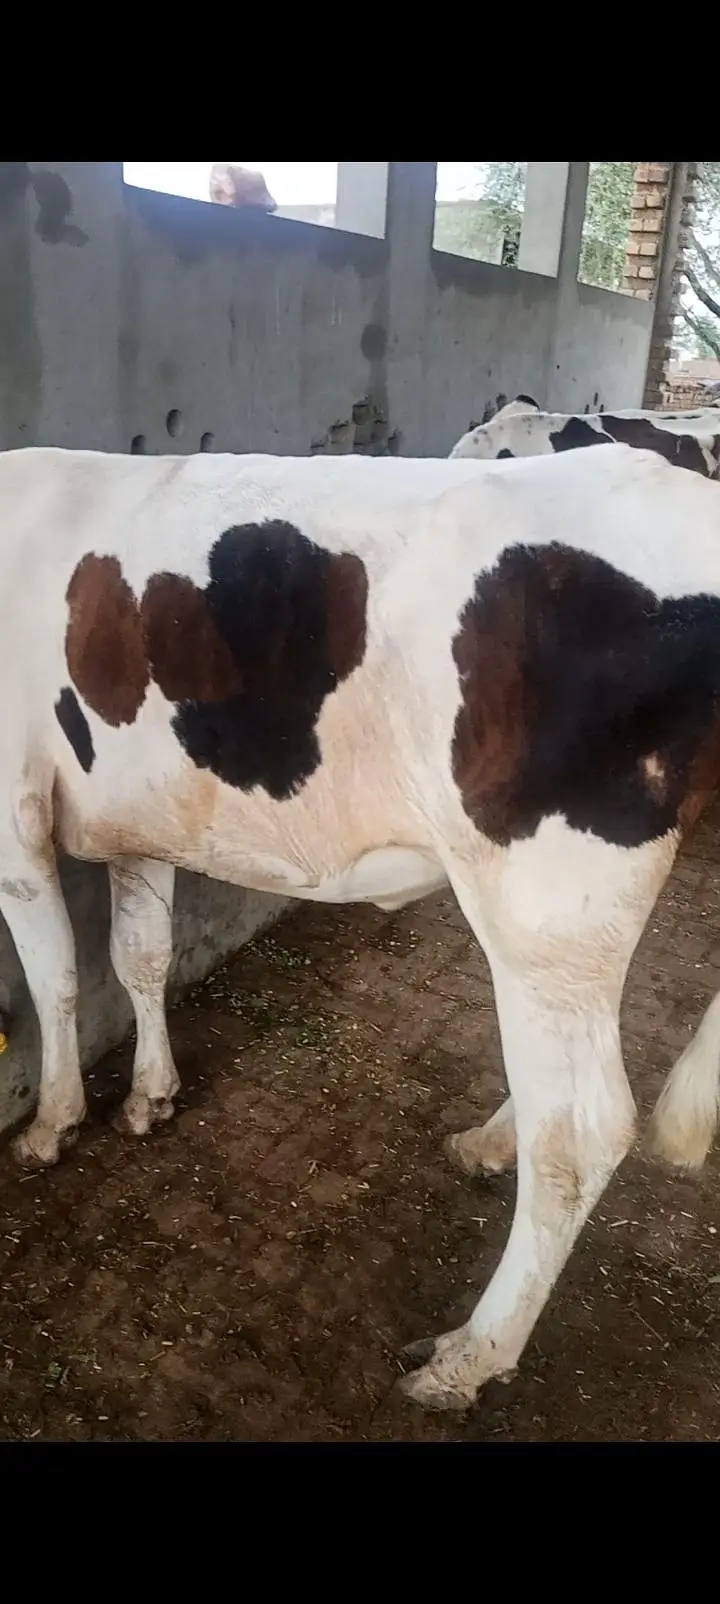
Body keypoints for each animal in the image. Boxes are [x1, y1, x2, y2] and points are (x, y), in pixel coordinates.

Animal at [3, 440, 720, 1413]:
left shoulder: (13, 815)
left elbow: (56, 980)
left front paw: (53, 1123)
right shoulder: (140, 814)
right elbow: (139, 956)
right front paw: (151, 1095)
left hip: (547, 898)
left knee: (582, 1130)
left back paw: (470, 1355)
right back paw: (490, 1142)